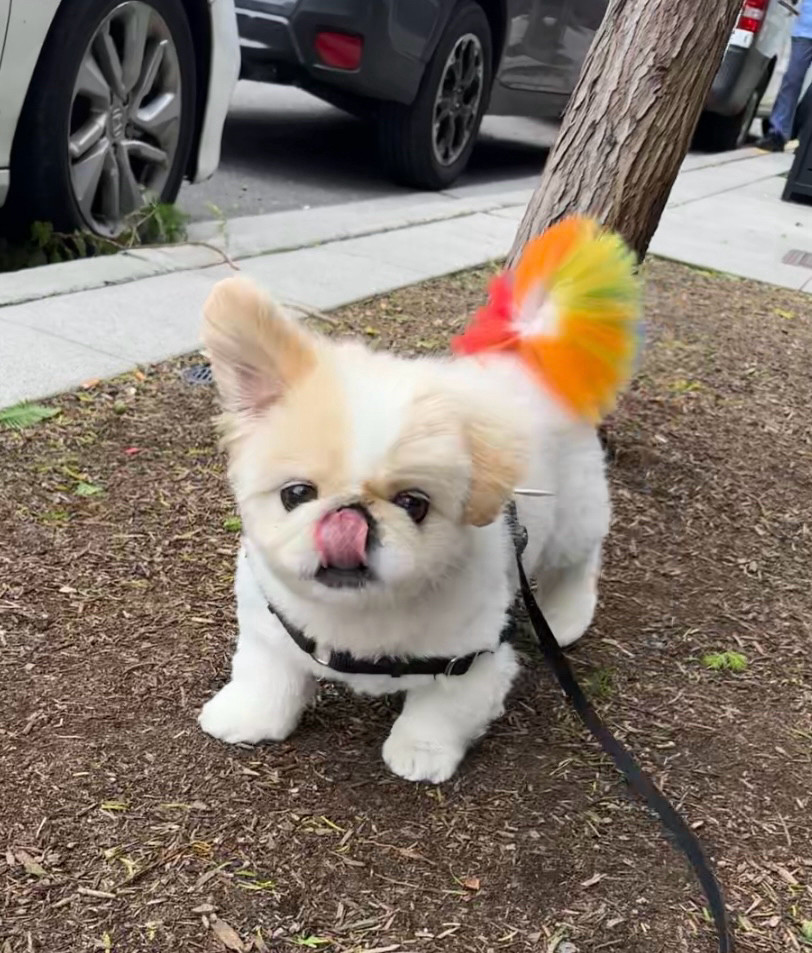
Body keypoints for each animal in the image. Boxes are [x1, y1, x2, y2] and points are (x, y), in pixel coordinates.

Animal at [197, 276, 604, 780]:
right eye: (296, 494)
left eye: (414, 504)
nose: (349, 514)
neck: (358, 613)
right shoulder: (269, 625)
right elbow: (268, 675)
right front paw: (247, 716)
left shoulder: (475, 662)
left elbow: (442, 710)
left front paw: (421, 752)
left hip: (574, 519)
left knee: (580, 563)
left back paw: (566, 618)